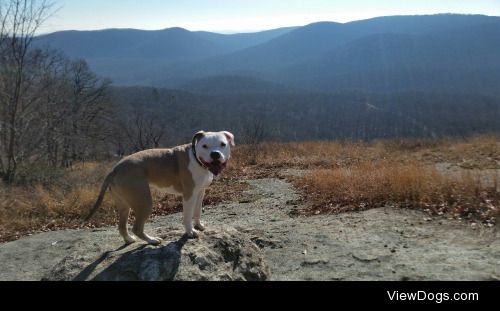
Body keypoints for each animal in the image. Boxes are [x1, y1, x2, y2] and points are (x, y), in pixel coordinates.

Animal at [85, 130, 235, 245]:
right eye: (204, 146)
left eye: (223, 144)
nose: (215, 154)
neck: (197, 159)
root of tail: (115, 169)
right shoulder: (189, 195)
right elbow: (187, 215)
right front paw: (190, 231)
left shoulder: (199, 193)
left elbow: (197, 212)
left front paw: (199, 225)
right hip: (144, 201)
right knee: (137, 228)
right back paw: (152, 240)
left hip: (124, 204)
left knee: (122, 226)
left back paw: (129, 240)